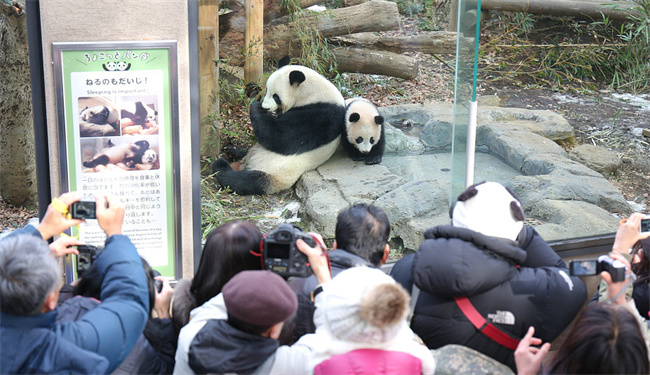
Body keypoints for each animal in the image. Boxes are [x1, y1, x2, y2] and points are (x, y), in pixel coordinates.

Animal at [211, 57, 344, 197]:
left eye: (276, 96)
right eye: (267, 89)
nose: (265, 107)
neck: (311, 93)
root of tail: (244, 164)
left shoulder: (321, 116)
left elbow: (280, 137)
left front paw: (257, 107)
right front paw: (252, 91)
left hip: (274, 174)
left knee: (243, 181)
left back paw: (221, 166)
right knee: (245, 152)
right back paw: (231, 152)